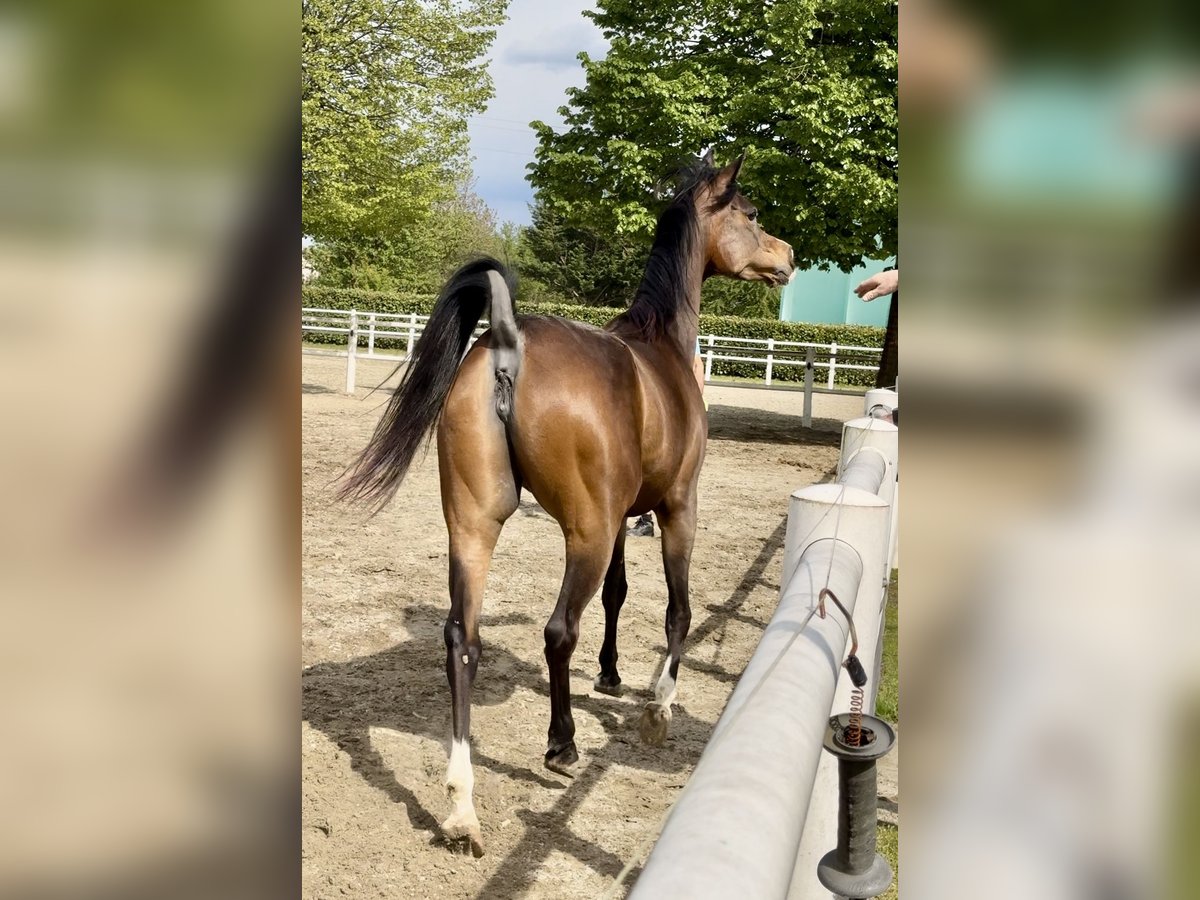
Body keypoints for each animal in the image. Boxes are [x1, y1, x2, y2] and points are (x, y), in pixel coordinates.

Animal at [338, 151, 794, 856]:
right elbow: (677, 610)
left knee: (462, 639)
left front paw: (609, 673)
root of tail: (506, 341)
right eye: (750, 214)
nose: (788, 257)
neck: (658, 345)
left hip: (475, 528)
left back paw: (462, 810)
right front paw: (658, 706)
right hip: (586, 532)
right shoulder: (675, 508)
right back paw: (562, 746)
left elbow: (618, 594)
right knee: (558, 631)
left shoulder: (624, 517)